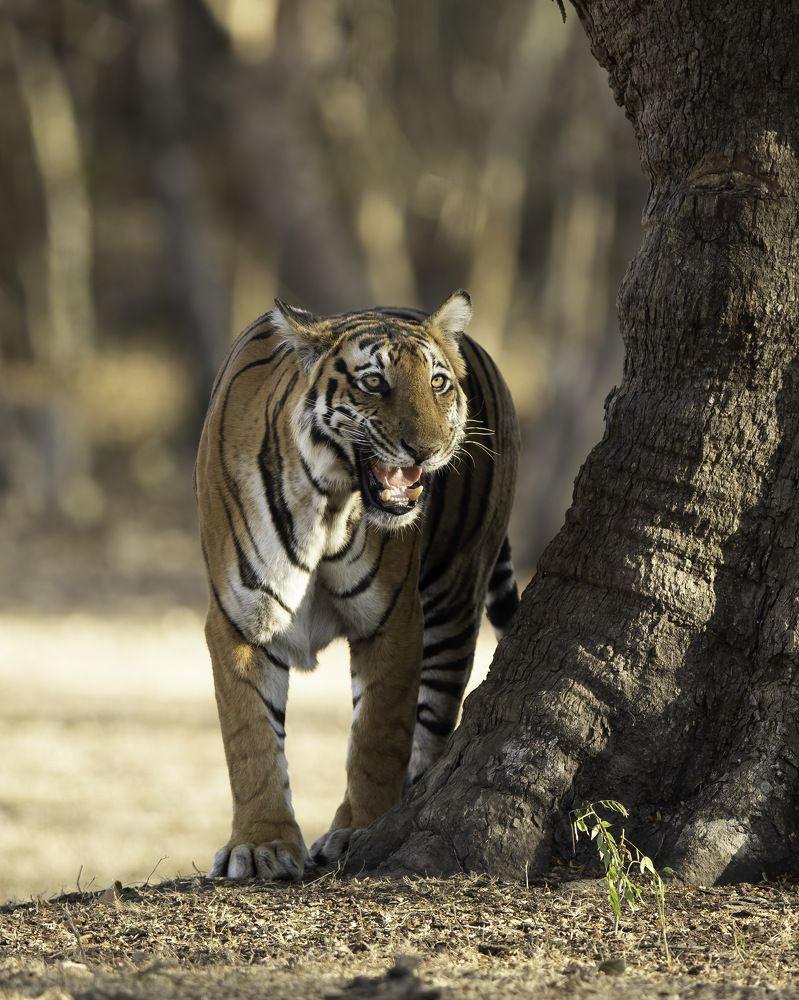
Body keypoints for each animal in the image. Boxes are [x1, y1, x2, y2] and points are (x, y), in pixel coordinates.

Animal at [195, 290, 520, 880]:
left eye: (437, 382)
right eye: (374, 383)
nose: (428, 449)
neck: (326, 501)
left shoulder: (393, 619)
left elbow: (377, 736)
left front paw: (359, 830)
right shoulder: (239, 618)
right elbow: (249, 738)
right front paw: (260, 845)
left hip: (453, 600)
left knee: (431, 725)